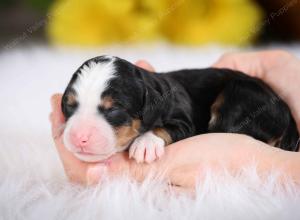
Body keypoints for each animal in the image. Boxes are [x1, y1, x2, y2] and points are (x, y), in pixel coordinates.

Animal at [61, 55, 300, 163]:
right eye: (69, 106)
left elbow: (165, 128)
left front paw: (145, 143)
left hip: (238, 96)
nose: (79, 138)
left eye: (113, 110)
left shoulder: (184, 120)